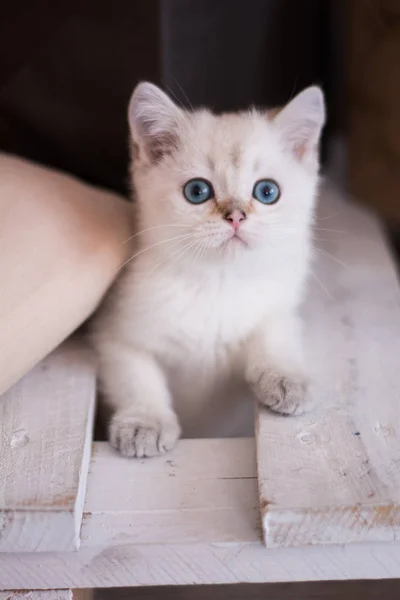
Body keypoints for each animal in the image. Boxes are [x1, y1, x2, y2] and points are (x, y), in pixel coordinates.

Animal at [90, 81, 324, 460]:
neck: (216, 283)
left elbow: (274, 331)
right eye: (197, 191)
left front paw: (285, 378)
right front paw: (145, 421)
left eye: (267, 191)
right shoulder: (113, 333)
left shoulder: (278, 306)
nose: (236, 216)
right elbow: (136, 377)